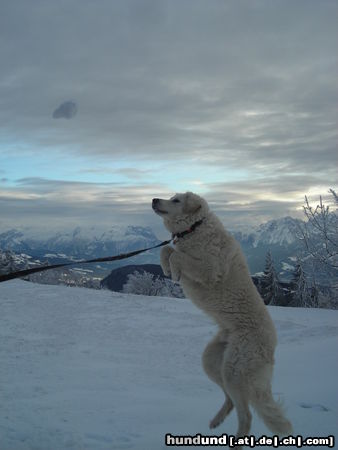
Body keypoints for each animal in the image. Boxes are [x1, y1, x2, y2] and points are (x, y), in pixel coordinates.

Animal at [152, 192, 292, 442]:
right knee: (230, 401)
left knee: (246, 415)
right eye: (170, 197)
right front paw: (166, 268)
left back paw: (235, 442)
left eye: (176, 200)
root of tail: (272, 344)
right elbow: (166, 251)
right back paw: (216, 421)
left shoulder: (209, 268)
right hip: (212, 360)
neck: (195, 229)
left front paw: (174, 271)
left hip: (235, 370)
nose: (154, 199)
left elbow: (177, 256)